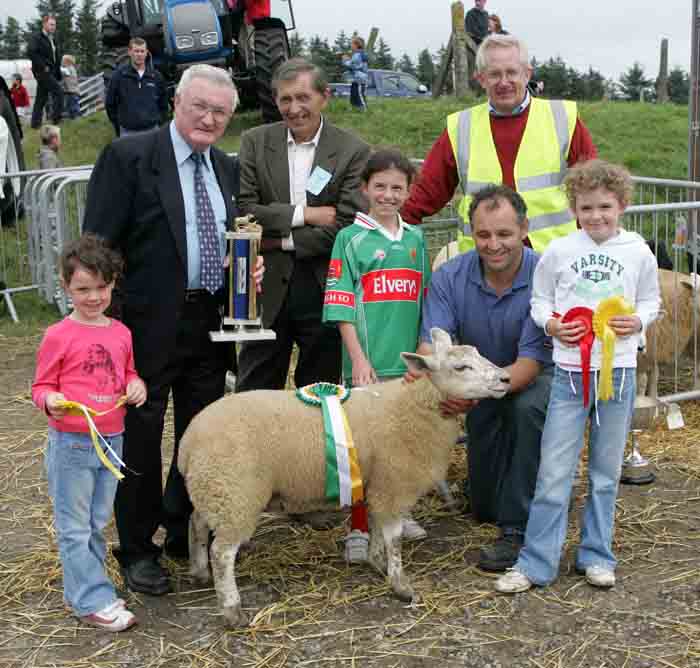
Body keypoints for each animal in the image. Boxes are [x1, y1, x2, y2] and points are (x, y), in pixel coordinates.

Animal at [178, 328, 512, 628]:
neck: (413, 405)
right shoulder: (393, 483)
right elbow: (394, 538)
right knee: (222, 552)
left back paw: (199, 571)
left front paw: (378, 563)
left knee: (196, 522)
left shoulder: (379, 483)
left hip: (215, 488)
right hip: (236, 493)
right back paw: (232, 611)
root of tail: (189, 440)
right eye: (461, 367)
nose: (506, 379)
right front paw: (401, 585)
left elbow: (378, 528)